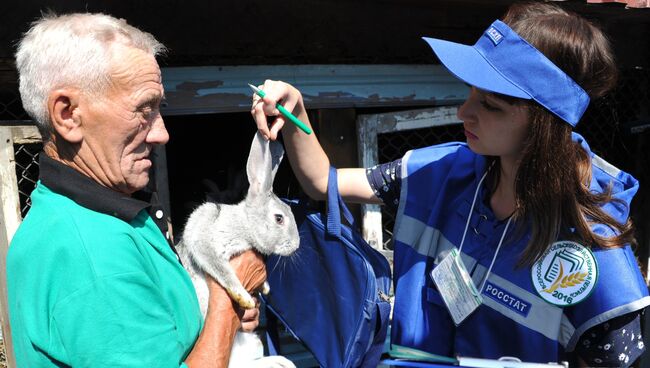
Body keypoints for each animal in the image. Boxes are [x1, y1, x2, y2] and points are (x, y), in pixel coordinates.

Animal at [177, 132, 298, 368]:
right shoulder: (205, 241)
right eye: (279, 218)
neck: (246, 224)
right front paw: (244, 298)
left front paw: (265, 288)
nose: (296, 245)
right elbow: (222, 269)